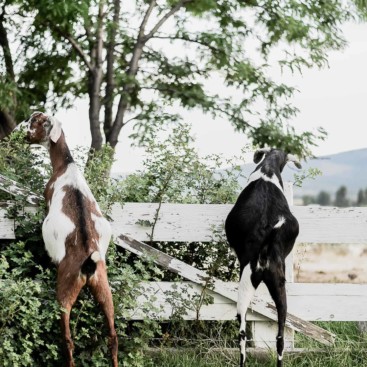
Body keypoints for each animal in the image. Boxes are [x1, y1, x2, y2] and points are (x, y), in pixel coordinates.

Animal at [17, 112, 118, 367]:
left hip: (65, 289)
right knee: (113, 336)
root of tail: (89, 263)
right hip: (104, 288)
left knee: (68, 339)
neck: (66, 166)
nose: (22, 130)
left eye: (34, 121)